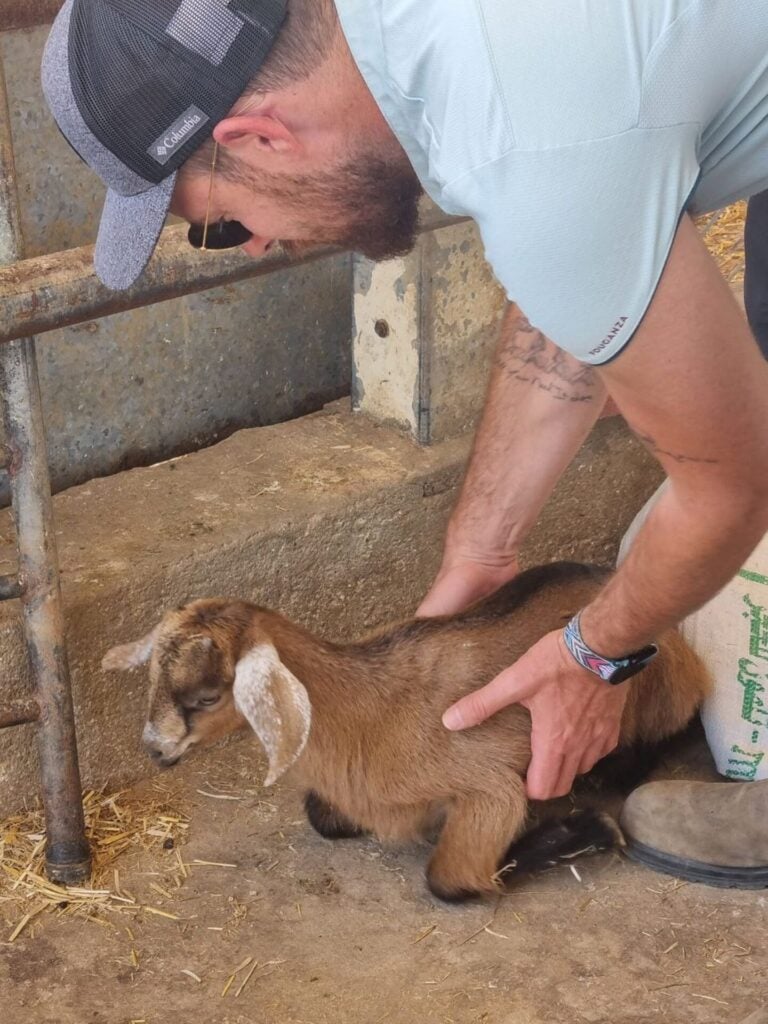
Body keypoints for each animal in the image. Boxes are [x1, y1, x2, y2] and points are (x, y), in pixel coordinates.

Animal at [102, 562, 710, 902]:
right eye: (152, 679)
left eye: (205, 697)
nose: (155, 750)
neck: (368, 712)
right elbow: (321, 815)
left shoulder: (489, 787)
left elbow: (452, 879)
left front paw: (587, 829)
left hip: (656, 691)